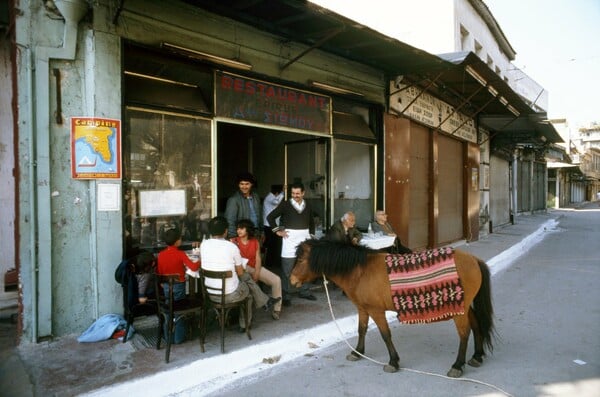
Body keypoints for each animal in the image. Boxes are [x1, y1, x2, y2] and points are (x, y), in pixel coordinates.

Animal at [288, 237, 494, 376]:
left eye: (301, 260)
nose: (291, 280)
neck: (360, 271)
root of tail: (474, 260)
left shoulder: (376, 311)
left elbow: (385, 335)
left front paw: (393, 362)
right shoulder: (363, 309)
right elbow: (361, 329)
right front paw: (358, 352)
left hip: (459, 310)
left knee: (464, 333)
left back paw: (457, 365)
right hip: (464, 307)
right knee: (476, 325)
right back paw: (477, 356)